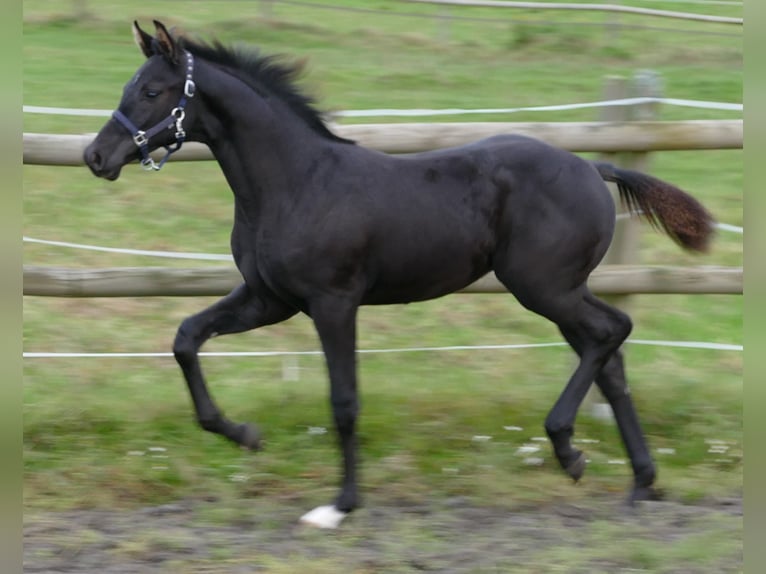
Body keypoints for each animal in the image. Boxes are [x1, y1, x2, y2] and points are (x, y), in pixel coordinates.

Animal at [87, 21, 716, 528]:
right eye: (127, 88)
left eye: (151, 91)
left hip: (545, 287)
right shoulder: (269, 299)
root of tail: (593, 166)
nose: (96, 156)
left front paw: (339, 506)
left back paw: (569, 448)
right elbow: (187, 337)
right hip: (560, 290)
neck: (296, 182)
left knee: (613, 331)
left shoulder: (332, 302)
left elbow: (344, 401)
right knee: (609, 359)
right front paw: (244, 434)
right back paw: (638, 482)